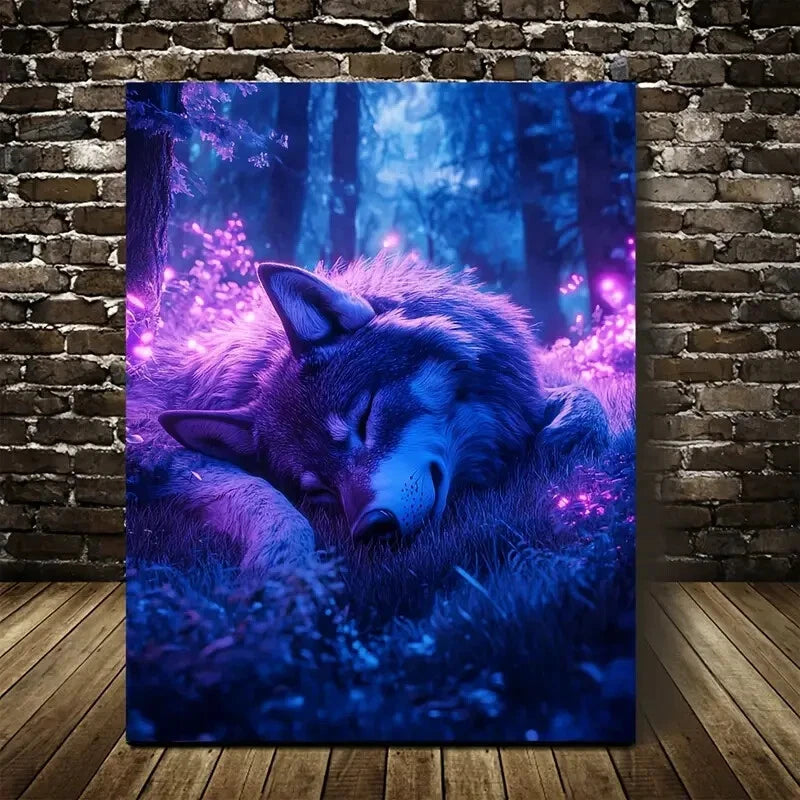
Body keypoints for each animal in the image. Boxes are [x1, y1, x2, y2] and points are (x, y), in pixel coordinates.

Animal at [127, 256, 610, 572]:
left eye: (365, 418)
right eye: (319, 490)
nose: (371, 528)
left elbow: (587, 398)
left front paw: (560, 434)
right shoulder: (161, 453)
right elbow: (268, 502)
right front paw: (282, 573)